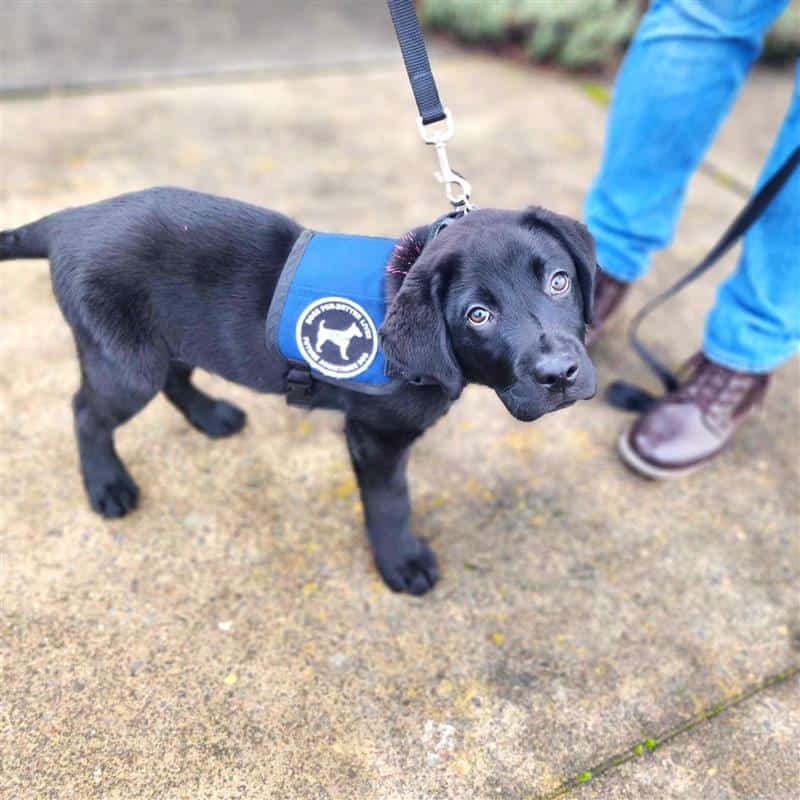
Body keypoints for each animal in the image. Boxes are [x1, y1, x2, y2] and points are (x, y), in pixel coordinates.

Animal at [0, 188, 592, 592]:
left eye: (558, 281)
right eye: (478, 315)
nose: (560, 374)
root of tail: (67, 220)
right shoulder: (374, 435)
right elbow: (390, 501)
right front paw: (401, 563)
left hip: (169, 338)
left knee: (174, 377)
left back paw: (211, 416)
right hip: (125, 363)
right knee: (85, 411)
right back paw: (107, 484)